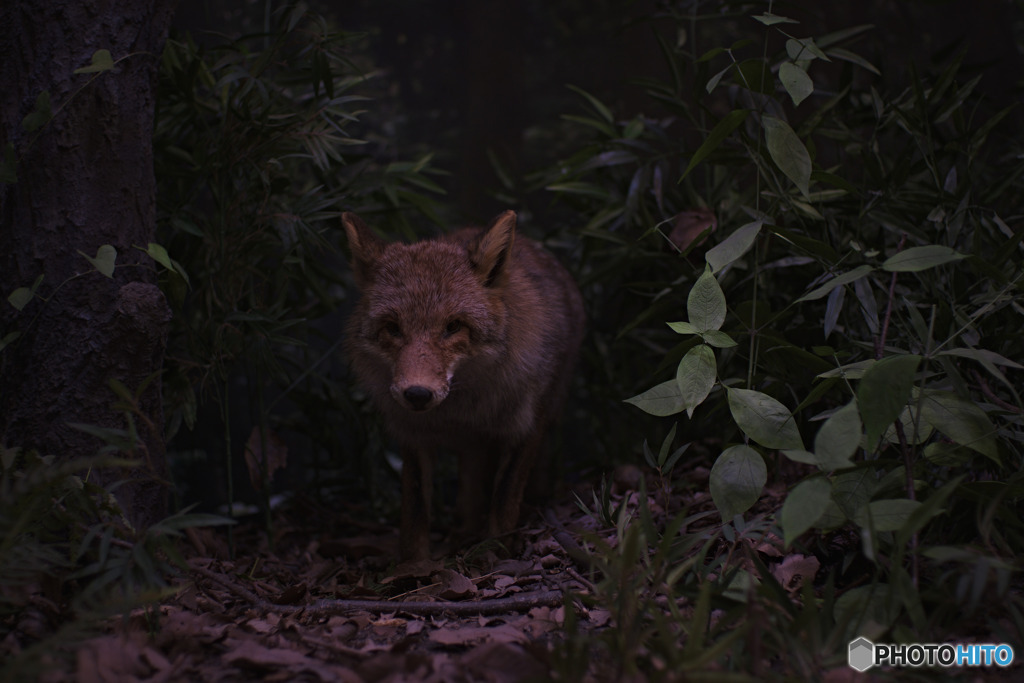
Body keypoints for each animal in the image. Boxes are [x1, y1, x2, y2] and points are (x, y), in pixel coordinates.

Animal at [342, 211, 585, 561]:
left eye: (453, 326)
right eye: (393, 328)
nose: (417, 394)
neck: (463, 406)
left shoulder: (526, 425)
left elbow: (504, 498)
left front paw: (497, 552)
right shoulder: (412, 433)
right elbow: (414, 509)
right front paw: (414, 565)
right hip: (472, 444)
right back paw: (463, 533)